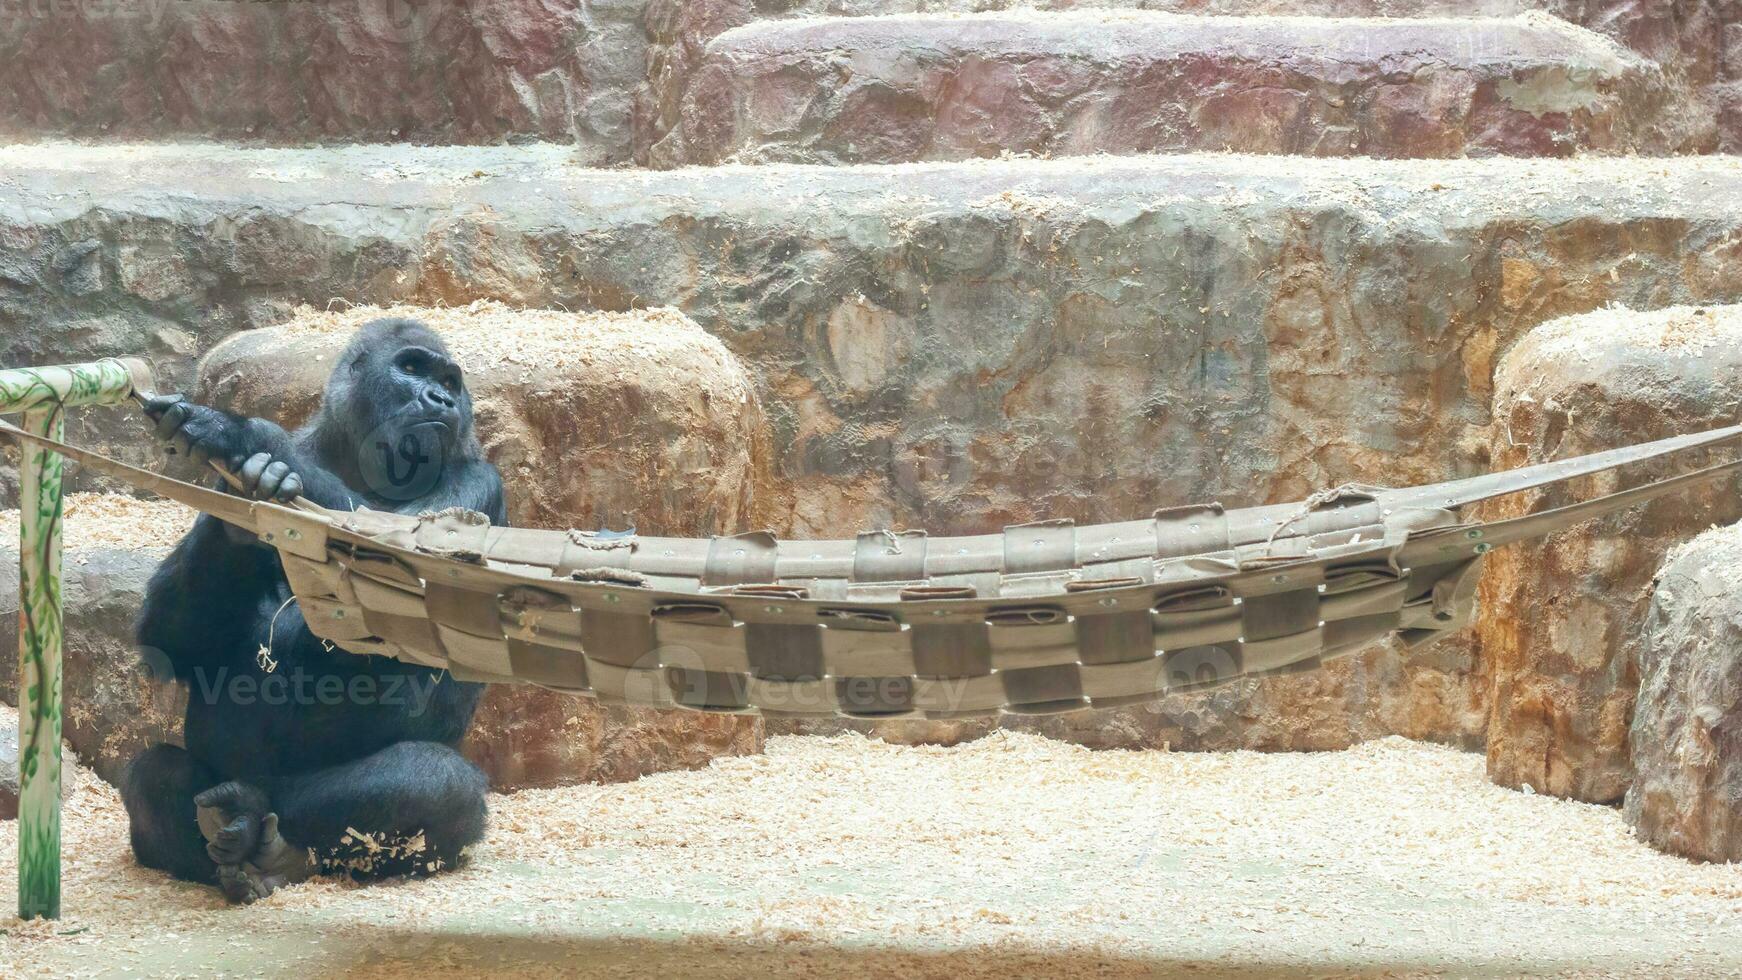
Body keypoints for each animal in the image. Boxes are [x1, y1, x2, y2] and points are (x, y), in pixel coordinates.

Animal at [118, 320, 505, 905]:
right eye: (412, 368)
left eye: (448, 383)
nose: (440, 399)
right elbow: (172, 644)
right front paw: (241, 510)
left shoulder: (476, 482)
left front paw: (240, 434)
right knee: (154, 775)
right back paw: (237, 846)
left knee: (435, 783)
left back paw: (268, 842)